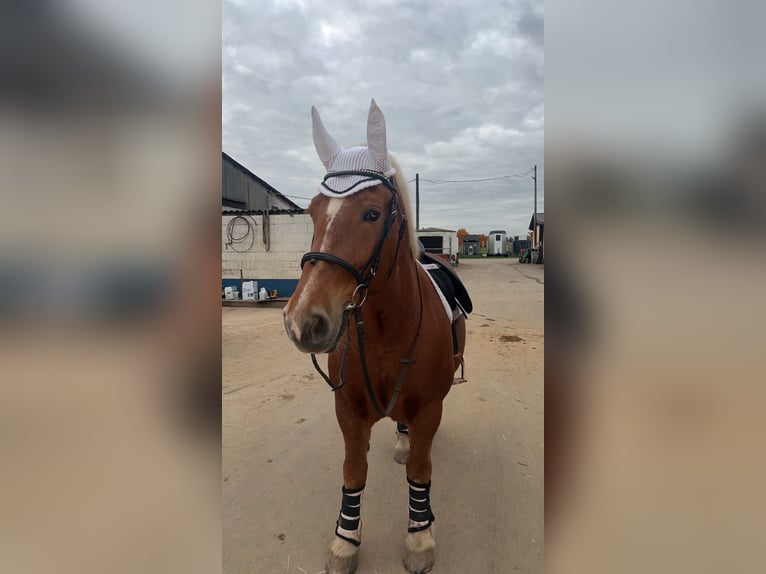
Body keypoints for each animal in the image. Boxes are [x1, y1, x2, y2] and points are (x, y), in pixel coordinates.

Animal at [283, 99, 470, 574]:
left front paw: (419, 538)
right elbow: (353, 473)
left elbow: (419, 471)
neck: (387, 331)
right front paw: (345, 541)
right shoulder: (348, 411)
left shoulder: (430, 409)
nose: (303, 320)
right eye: (313, 212)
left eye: (371, 213)